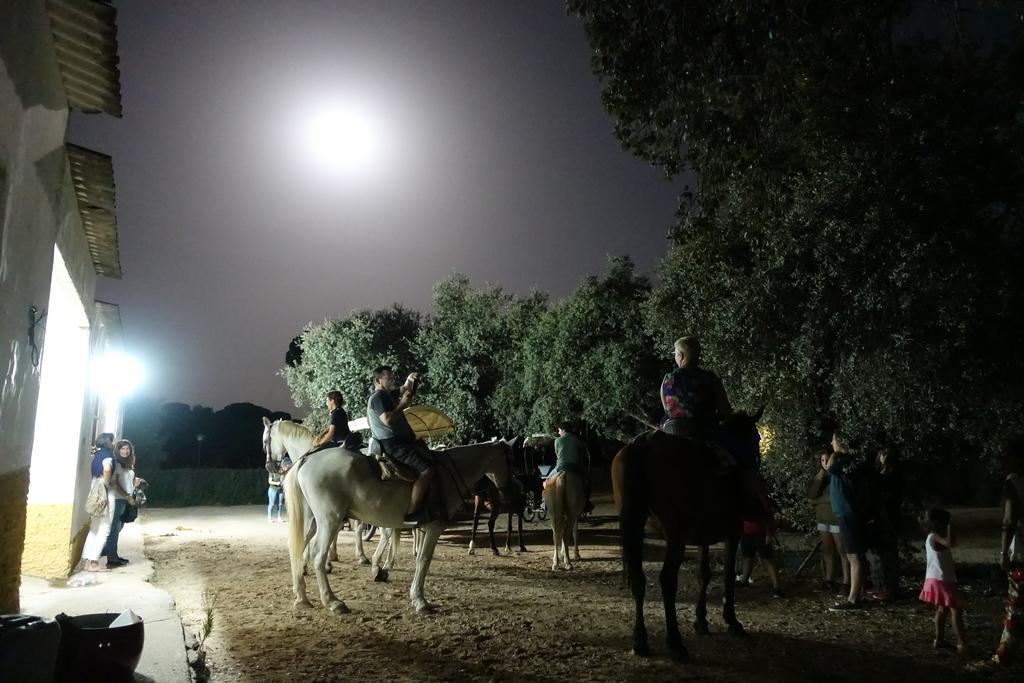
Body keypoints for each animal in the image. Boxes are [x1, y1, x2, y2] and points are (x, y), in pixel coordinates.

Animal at [260, 419, 399, 573]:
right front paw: (330, 557)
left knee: (384, 530)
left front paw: (318, 562)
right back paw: (385, 562)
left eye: (265, 441)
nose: (269, 466)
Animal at [610, 409, 765, 663]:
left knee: (639, 579)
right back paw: (675, 643)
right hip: (676, 535)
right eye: (756, 438)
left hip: (635, 526)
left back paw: (640, 641)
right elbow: (728, 574)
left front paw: (701, 620)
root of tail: (645, 444)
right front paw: (731, 620)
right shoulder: (734, 531)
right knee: (667, 580)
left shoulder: (703, 536)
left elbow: (704, 573)